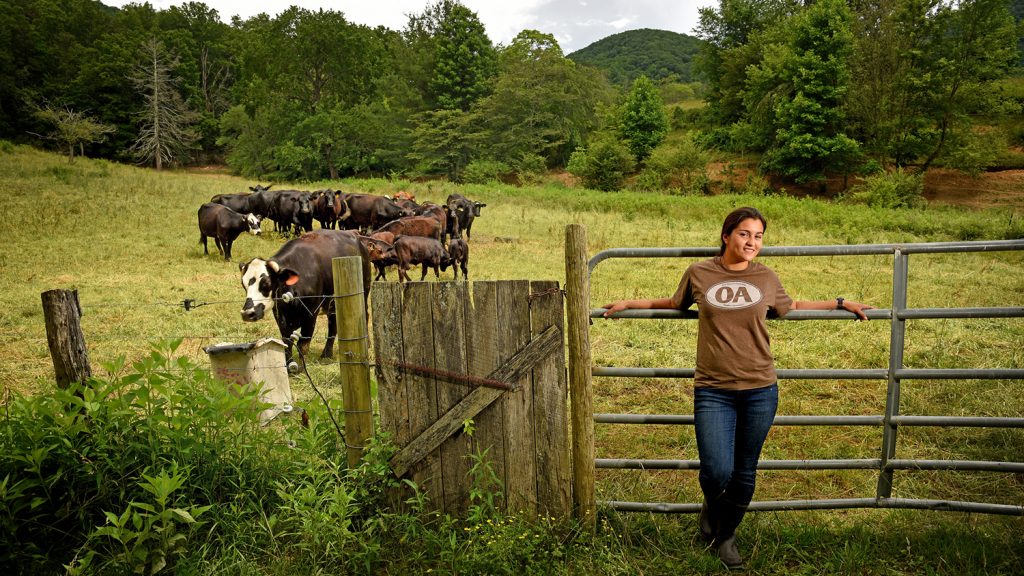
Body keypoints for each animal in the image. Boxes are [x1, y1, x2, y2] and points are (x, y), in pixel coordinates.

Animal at [237, 227, 370, 364]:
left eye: (266, 283)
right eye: (243, 284)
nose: (247, 313)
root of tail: (355, 235)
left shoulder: (311, 314)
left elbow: (303, 344)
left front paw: (301, 367)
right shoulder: (280, 316)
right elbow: (287, 342)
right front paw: (289, 364)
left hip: (364, 291)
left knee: (364, 314)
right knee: (333, 324)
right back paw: (327, 354)